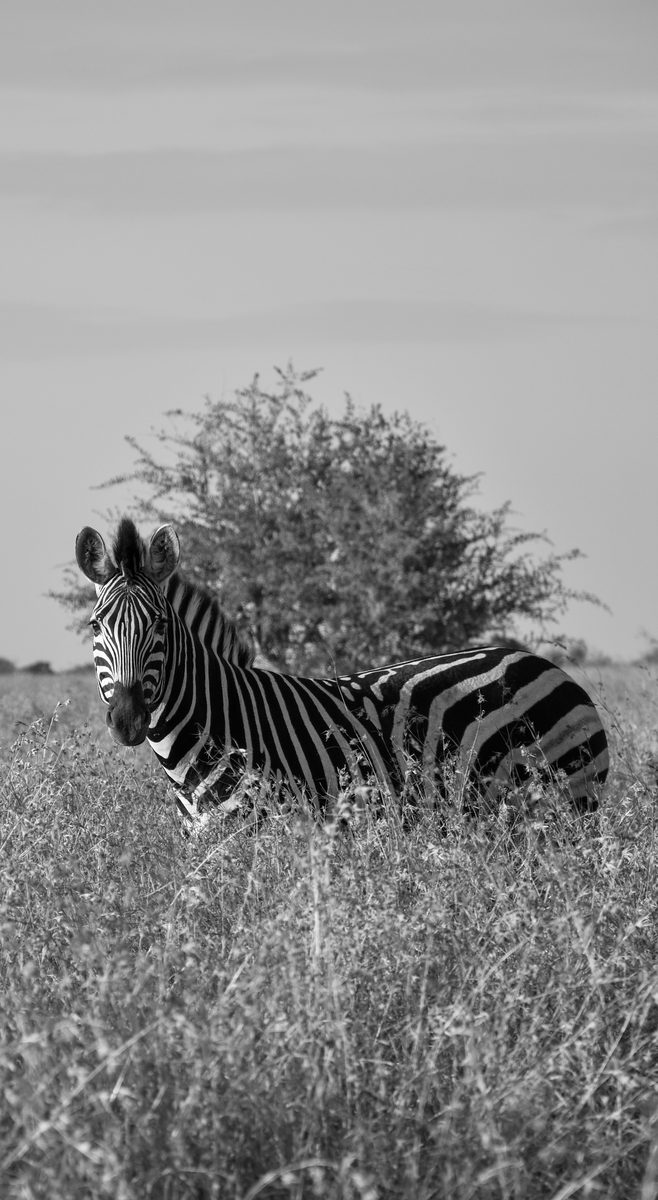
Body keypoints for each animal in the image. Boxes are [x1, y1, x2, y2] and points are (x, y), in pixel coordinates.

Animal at [75, 517, 609, 830]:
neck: (217, 724)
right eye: (96, 625)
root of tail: (547, 665)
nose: (127, 721)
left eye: (160, 626)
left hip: (566, 806)